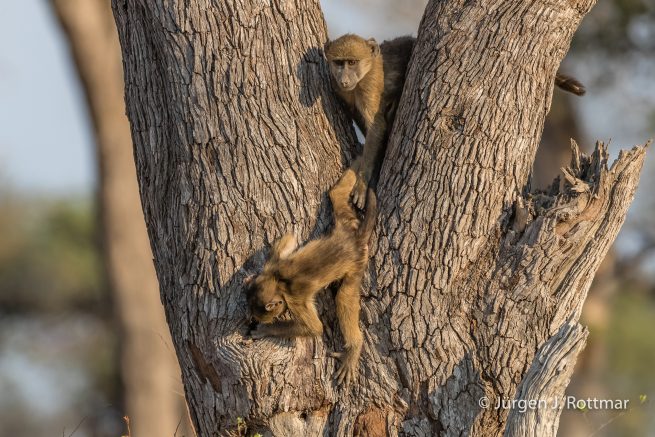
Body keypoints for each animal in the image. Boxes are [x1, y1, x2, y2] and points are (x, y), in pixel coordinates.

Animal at [246, 169, 377, 386]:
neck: (278, 283)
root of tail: (354, 241)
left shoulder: (294, 299)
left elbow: (314, 328)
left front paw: (266, 330)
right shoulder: (271, 267)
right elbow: (289, 238)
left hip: (357, 264)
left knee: (343, 296)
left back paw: (353, 348)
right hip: (345, 224)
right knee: (336, 195)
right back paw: (356, 177)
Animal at [324, 34, 586, 209]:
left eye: (352, 62)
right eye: (339, 63)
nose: (345, 79)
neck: (364, 72)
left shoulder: (368, 86)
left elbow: (376, 128)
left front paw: (362, 182)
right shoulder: (341, 90)